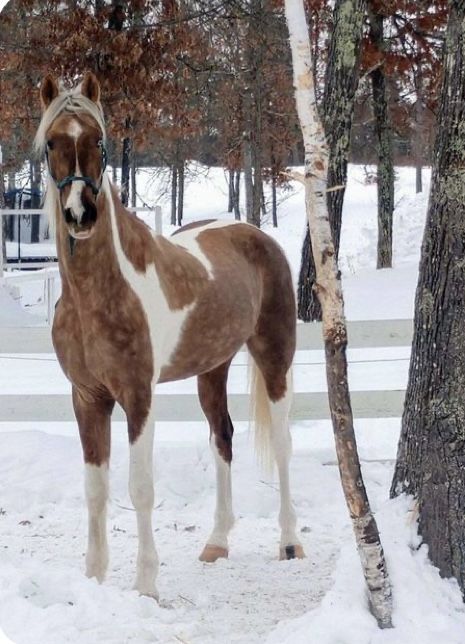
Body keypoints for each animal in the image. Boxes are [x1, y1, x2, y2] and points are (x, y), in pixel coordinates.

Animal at [36, 71, 304, 600]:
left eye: (99, 140)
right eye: (52, 142)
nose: (80, 214)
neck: (98, 292)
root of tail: (256, 235)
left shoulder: (138, 396)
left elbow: (140, 488)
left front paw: (146, 586)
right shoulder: (87, 397)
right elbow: (95, 489)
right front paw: (94, 578)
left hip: (274, 355)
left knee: (283, 445)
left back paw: (289, 542)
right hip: (212, 369)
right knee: (222, 437)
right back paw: (217, 542)